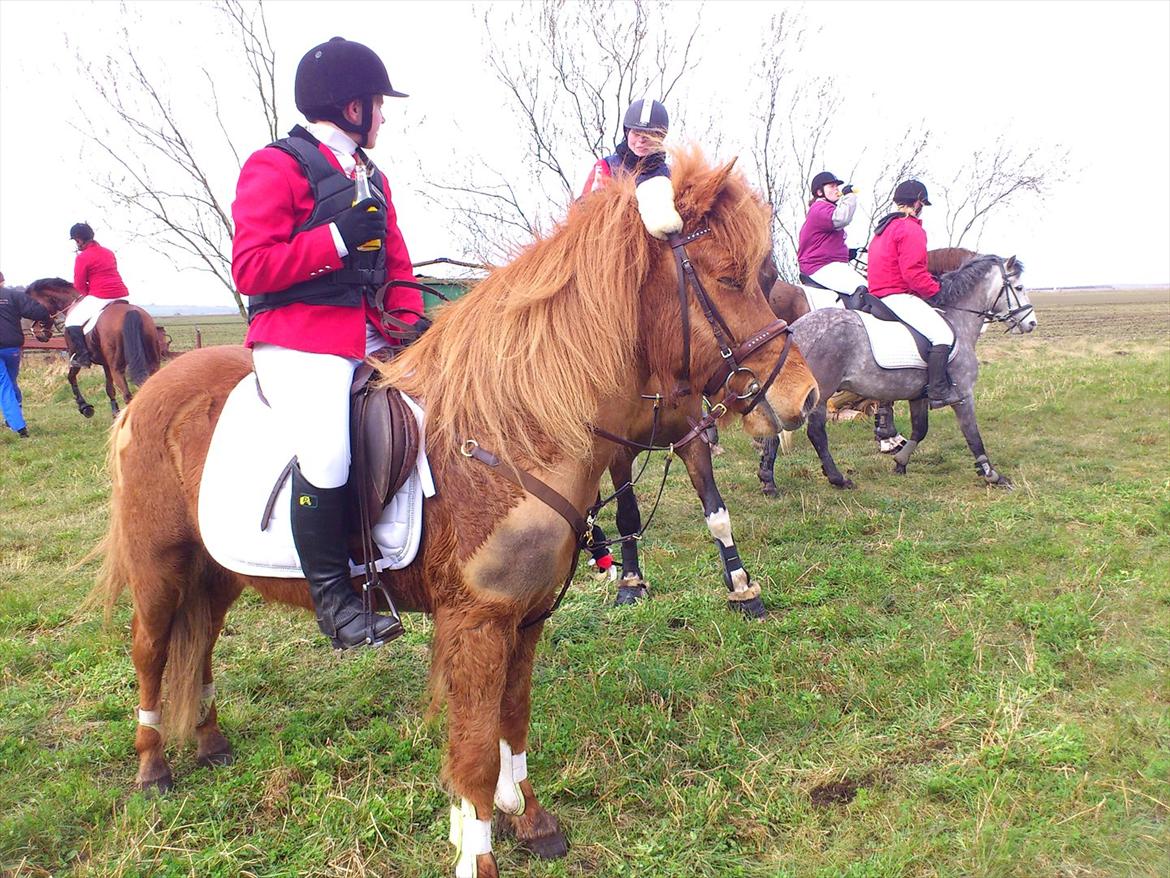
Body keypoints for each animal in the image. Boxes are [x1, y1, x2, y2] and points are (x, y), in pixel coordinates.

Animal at [23, 279, 161, 421]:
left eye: (34, 304)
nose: (36, 333)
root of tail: (131, 312)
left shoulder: (75, 357)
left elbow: (71, 377)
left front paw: (85, 407)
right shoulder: (106, 364)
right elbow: (109, 388)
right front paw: (115, 412)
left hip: (117, 368)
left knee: (128, 395)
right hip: (152, 363)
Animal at [98, 153, 814, 878]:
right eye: (729, 277)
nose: (804, 396)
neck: (516, 427)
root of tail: (149, 392)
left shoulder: (526, 618)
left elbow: (512, 723)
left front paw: (529, 817)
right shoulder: (478, 622)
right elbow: (473, 752)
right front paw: (478, 851)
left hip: (216, 572)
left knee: (200, 645)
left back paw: (208, 740)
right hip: (160, 567)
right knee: (151, 650)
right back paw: (153, 766)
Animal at [762, 254, 1038, 491]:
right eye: (1019, 287)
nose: (1031, 323)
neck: (956, 320)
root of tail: (795, 330)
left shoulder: (919, 396)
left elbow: (920, 430)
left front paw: (900, 462)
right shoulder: (963, 395)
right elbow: (973, 435)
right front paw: (991, 474)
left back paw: (768, 481)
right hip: (820, 392)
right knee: (816, 432)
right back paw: (837, 478)